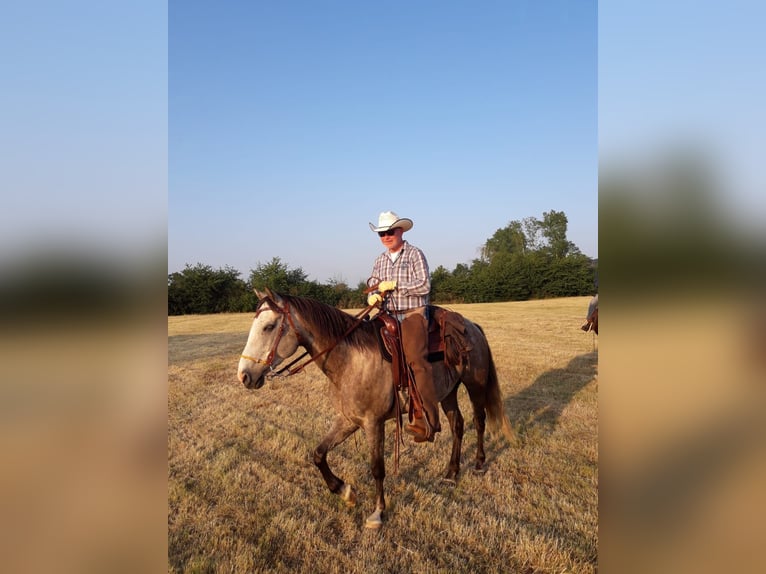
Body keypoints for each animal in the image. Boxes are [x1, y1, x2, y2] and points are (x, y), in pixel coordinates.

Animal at [237, 289, 515, 529]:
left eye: (269, 327)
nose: (244, 376)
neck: (351, 359)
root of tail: (473, 326)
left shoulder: (374, 423)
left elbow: (377, 469)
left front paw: (378, 512)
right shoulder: (348, 420)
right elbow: (318, 454)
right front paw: (344, 491)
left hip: (475, 384)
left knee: (479, 421)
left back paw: (478, 463)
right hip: (447, 392)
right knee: (457, 425)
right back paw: (451, 473)